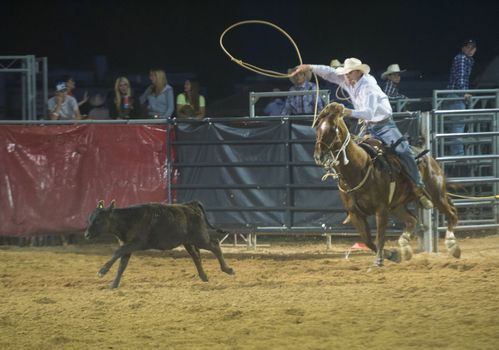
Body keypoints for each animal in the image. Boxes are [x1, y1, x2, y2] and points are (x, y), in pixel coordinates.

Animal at [316, 102, 460, 266]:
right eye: (318, 127)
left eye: (333, 128)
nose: (319, 156)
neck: (360, 167)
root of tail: (429, 158)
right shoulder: (355, 214)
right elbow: (368, 241)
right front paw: (392, 255)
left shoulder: (381, 209)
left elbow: (380, 236)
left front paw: (379, 260)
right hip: (397, 205)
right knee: (412, 220)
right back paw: (404, 246)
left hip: (436, 195)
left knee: (452, 214)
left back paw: (452, 245)